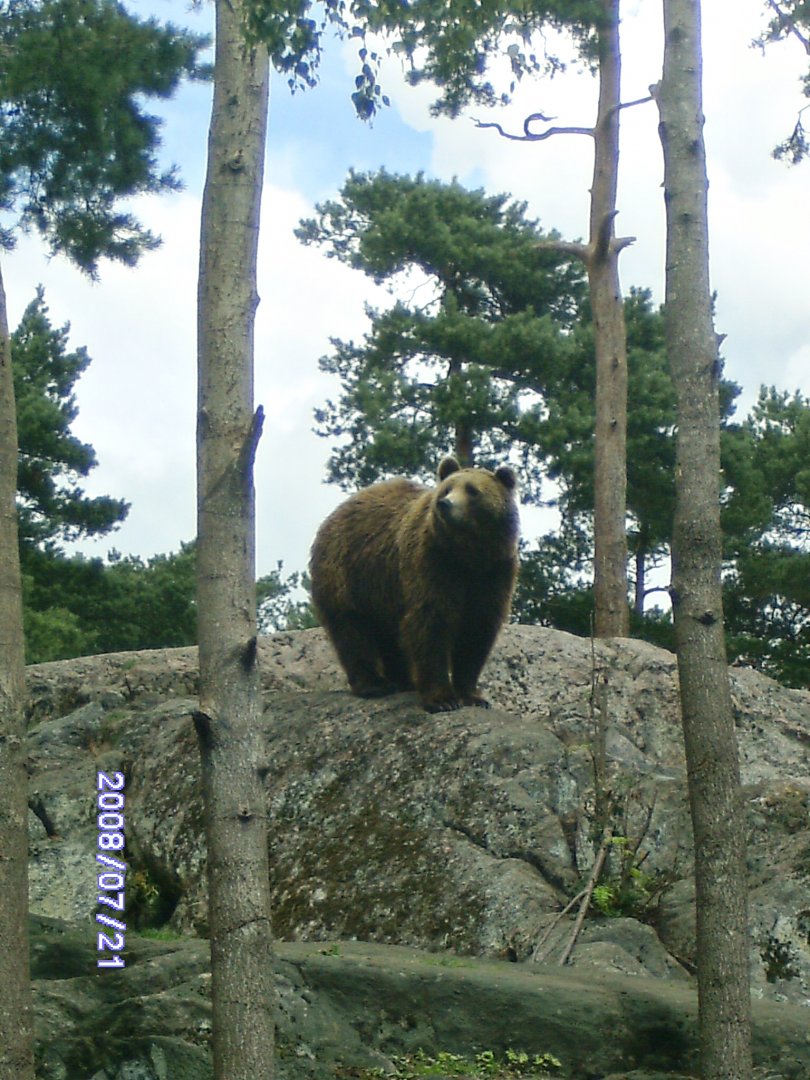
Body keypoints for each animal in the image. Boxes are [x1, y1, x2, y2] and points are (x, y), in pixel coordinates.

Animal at [309, 456, 519, 713]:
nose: (444, 504)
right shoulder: (432, 563)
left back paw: (403, 680)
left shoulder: (494, 573)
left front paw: (472, 695)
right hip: (349, 574)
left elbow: (477, 629)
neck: (467, 554)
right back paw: (374, 684)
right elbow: (431, 622)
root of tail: (334, 514)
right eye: (447, 488)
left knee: (390, 637)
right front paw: (442, 699)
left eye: (472, 490)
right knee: (352, 630)